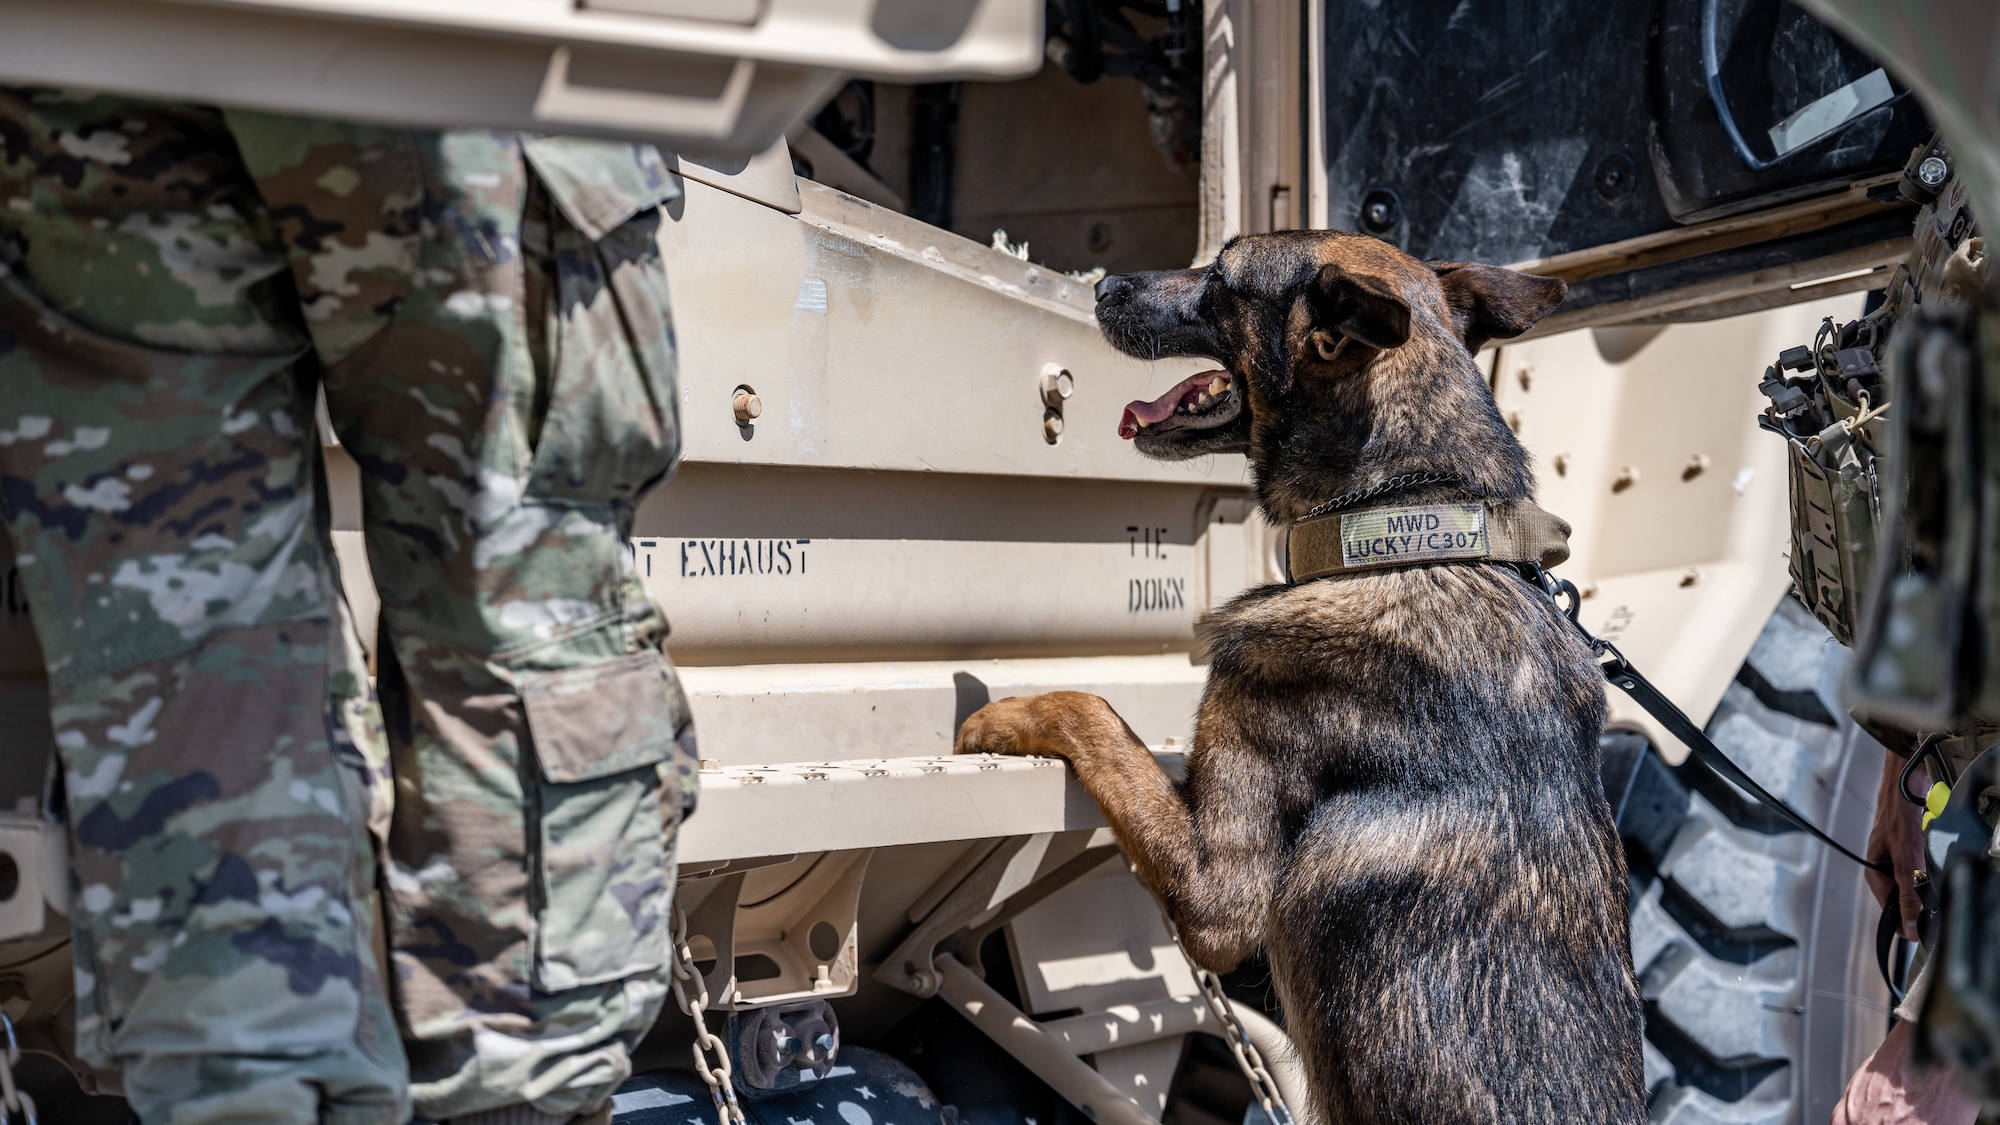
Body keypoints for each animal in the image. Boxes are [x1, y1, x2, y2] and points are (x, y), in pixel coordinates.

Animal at [952, 230, 1640, 1120]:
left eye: (1221, 277)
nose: (1102, 287)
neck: (1402, 533)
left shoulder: (1219, 893)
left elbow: (1092, 709)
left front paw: (998, 713)